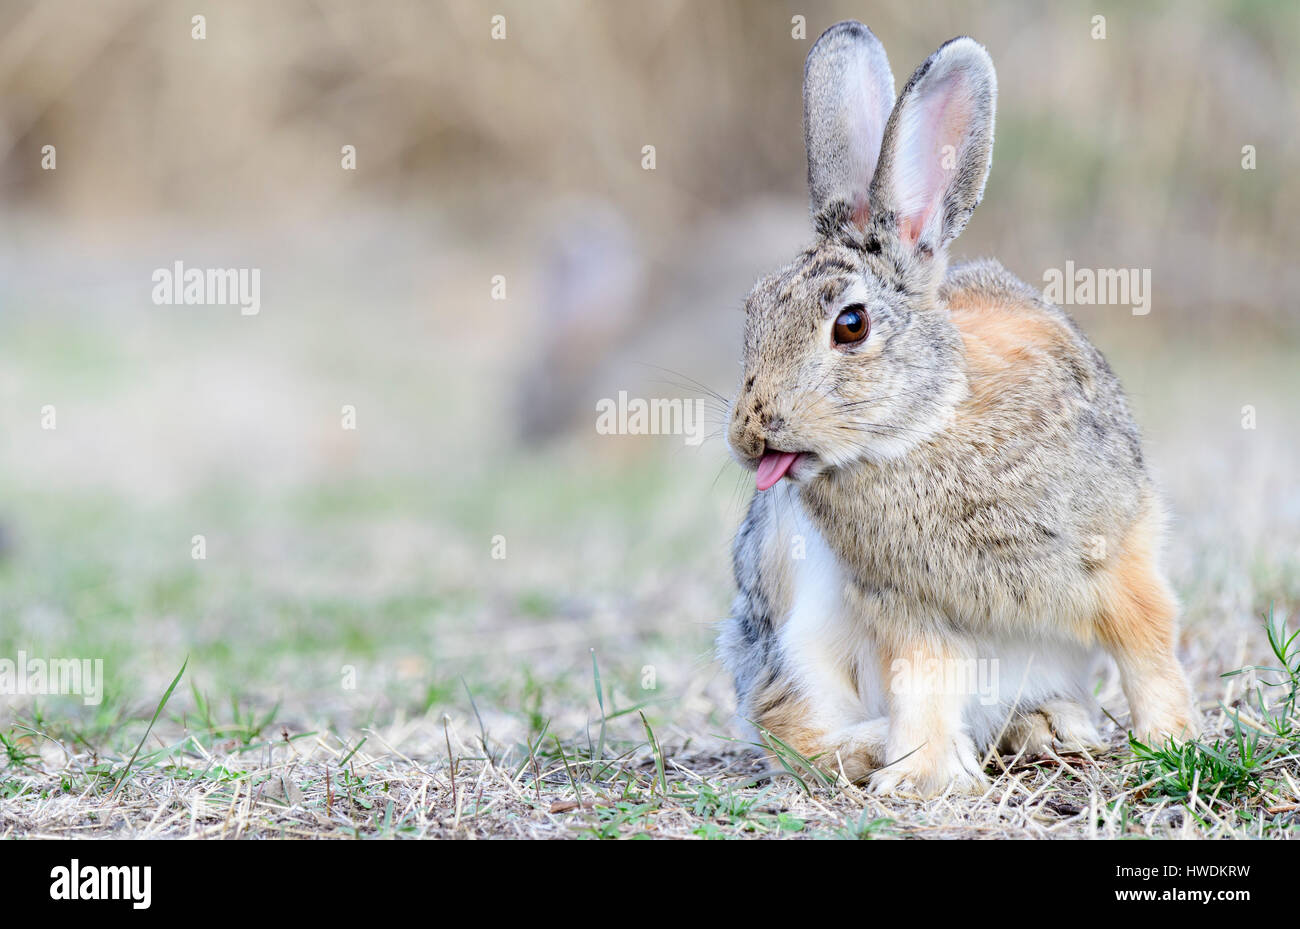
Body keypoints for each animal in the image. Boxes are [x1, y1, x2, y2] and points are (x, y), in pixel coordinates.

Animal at [722, 18, 1196, 795]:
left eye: (850, 325)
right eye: (753, 311)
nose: (748, 436)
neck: (930, 420)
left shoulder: (1118, 553)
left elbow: (1148, 643)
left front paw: (1173, 740)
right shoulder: (902, 601)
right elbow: (925, 678)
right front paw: (924, 778)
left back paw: (1049, 728)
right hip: (788, 615)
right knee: (789, 726)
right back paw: (874, 748)